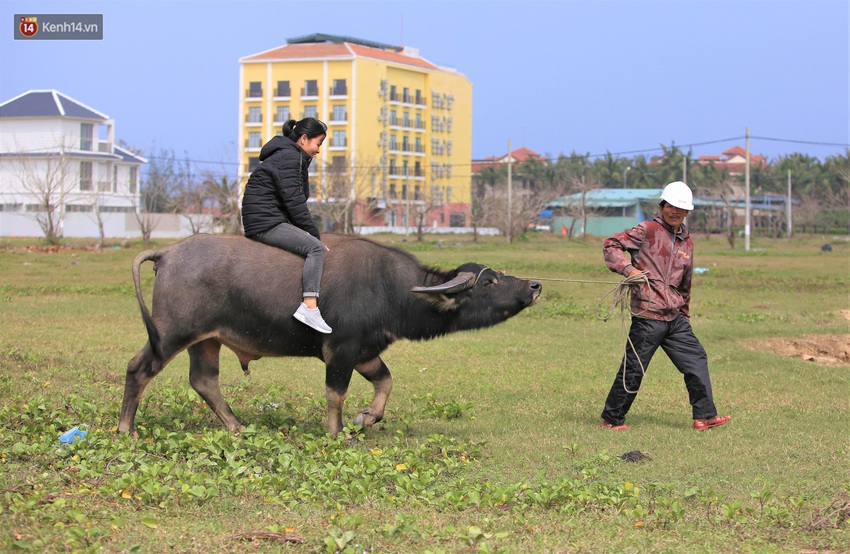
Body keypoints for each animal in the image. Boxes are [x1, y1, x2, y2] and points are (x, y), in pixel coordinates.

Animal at [117, 231, 544, 434]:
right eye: (488, 282)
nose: (534, 285)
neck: (390, 287)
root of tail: (169, 253)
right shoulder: (340, 349)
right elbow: (335, 394)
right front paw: (337, 432)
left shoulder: (365, 350)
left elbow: (386, 382)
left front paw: (367, 418)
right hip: (171, 332)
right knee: (139, 369)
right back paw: (126, 429)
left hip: (207, 340)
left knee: (204, 381)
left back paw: (237, 427)